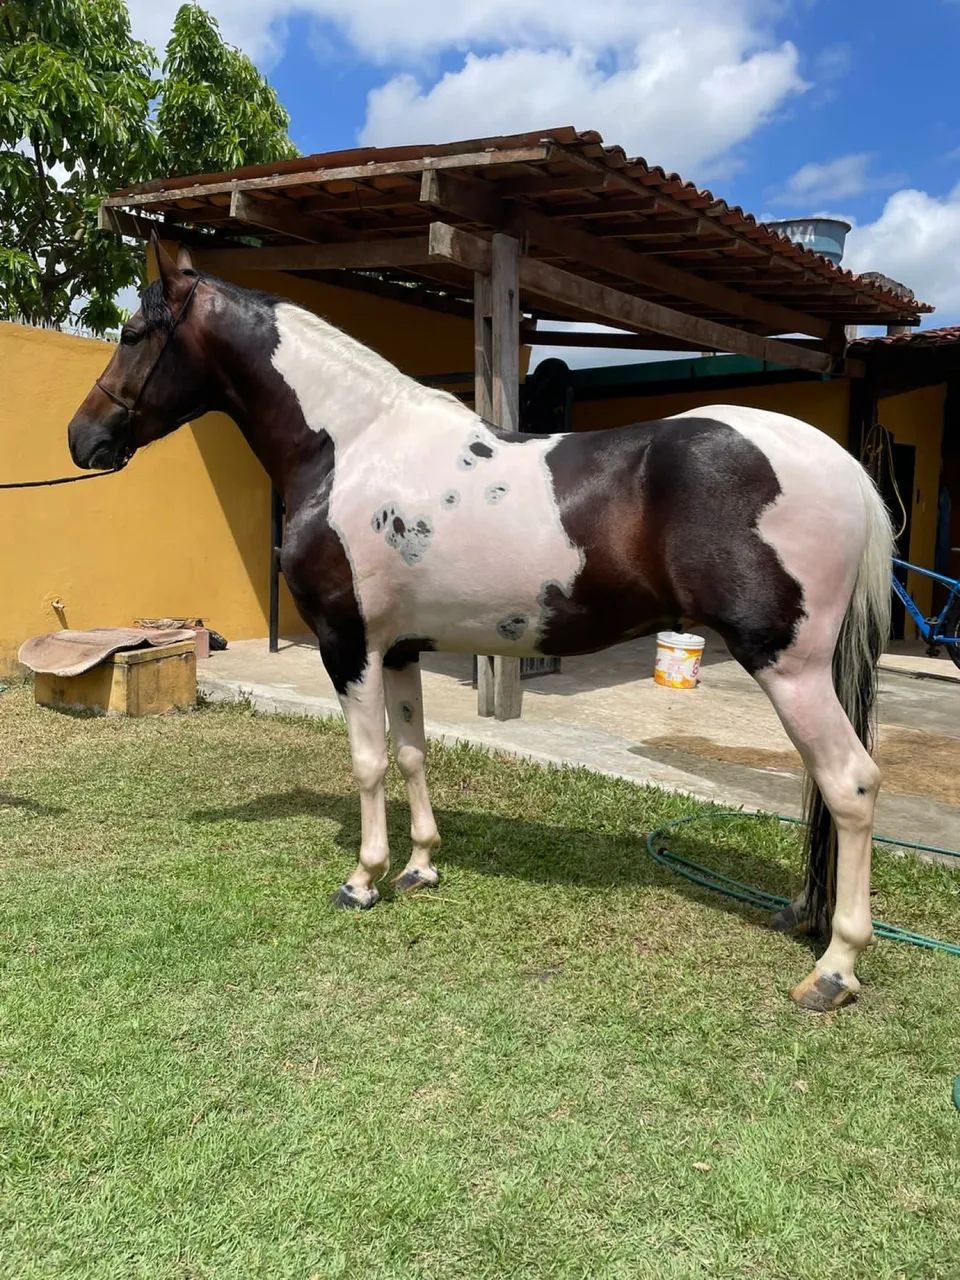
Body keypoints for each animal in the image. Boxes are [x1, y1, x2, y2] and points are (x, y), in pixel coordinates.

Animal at [67, 234, 892, 1012]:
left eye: (133, 331)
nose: (82, 439)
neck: (351, 447)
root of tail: (842, 466)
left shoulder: (348, 646)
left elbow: (367, 761)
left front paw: (363, 879)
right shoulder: (399, 648)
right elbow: (411, 753)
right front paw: (420, 866)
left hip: (789, 668)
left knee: (849, 784)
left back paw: (834, 969)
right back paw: (804, 919)